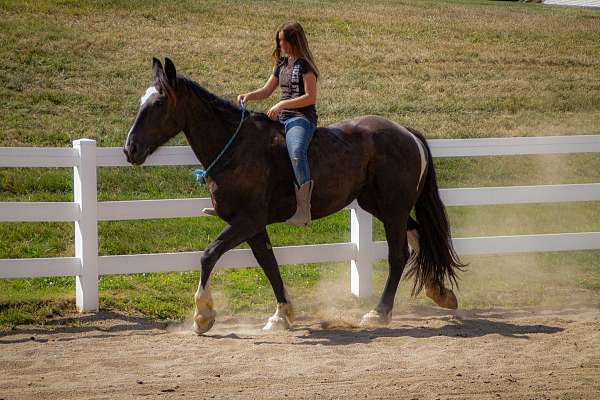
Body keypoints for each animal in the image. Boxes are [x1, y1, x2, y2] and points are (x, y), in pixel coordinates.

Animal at [124, 57, 466, 332]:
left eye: (158, 103)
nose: (130, 149)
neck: (236, 148)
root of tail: (407, 133)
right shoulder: (252, 226)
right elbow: (269, 264)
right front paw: (282, 315)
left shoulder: (247, 221)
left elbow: (209, 255)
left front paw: (203, 316)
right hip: (380, 205)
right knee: (419, 235)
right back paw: (440, 292)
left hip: (392, 209)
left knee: (398, 255)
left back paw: (379, 313)